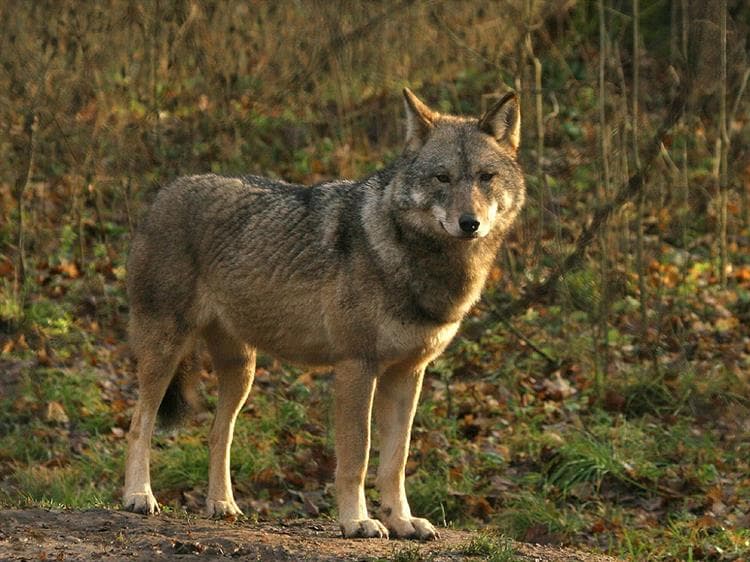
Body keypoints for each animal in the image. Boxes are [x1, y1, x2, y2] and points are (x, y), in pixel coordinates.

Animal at [123, 88, 525, 540]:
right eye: (443, 178)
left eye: (485, 177)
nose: (469, 223)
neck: (414, 259)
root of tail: (164, 191)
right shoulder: (356, 367)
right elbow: (357, 456)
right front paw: (357, 520)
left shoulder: (408, 374)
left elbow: (396, 460)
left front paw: (402, 521)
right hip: (165, 352)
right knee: (139, 422)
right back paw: (138, 496)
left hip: (242, 371)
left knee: (217, 433)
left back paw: (222, 505)